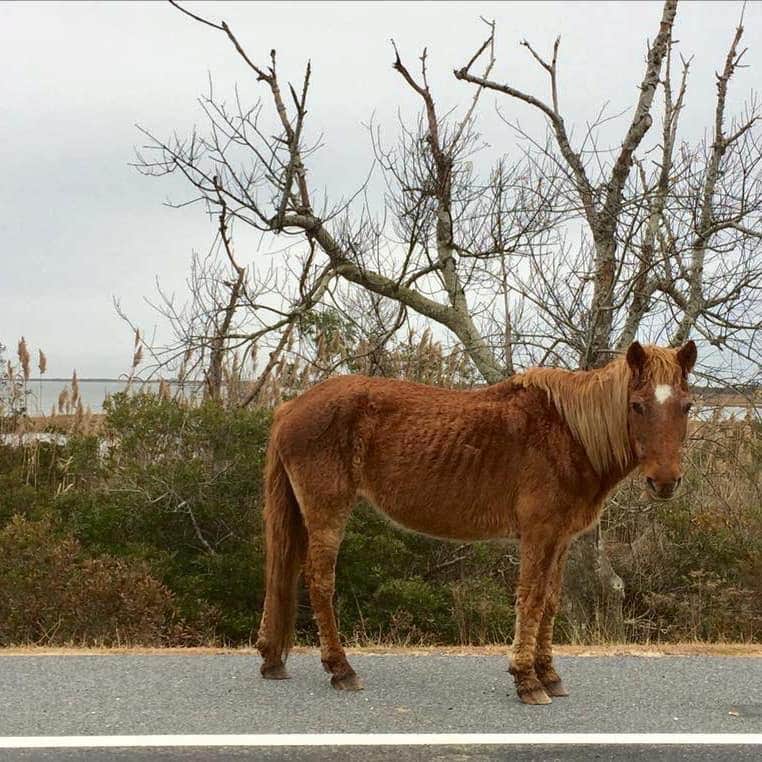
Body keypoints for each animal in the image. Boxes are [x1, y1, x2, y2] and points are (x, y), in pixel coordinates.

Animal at [255, 340, 697, 705]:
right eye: (637, 405)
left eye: (686, 406)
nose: (665, 482)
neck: (569, 433)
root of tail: (290, 407)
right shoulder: (538, 534)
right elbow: (531, 599)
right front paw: (526, 680)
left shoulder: (561, 539)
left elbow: (551, 602)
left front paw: (549, 675)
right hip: (327, 512)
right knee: (319, 582)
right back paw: (341, 669)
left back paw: (273, 659)